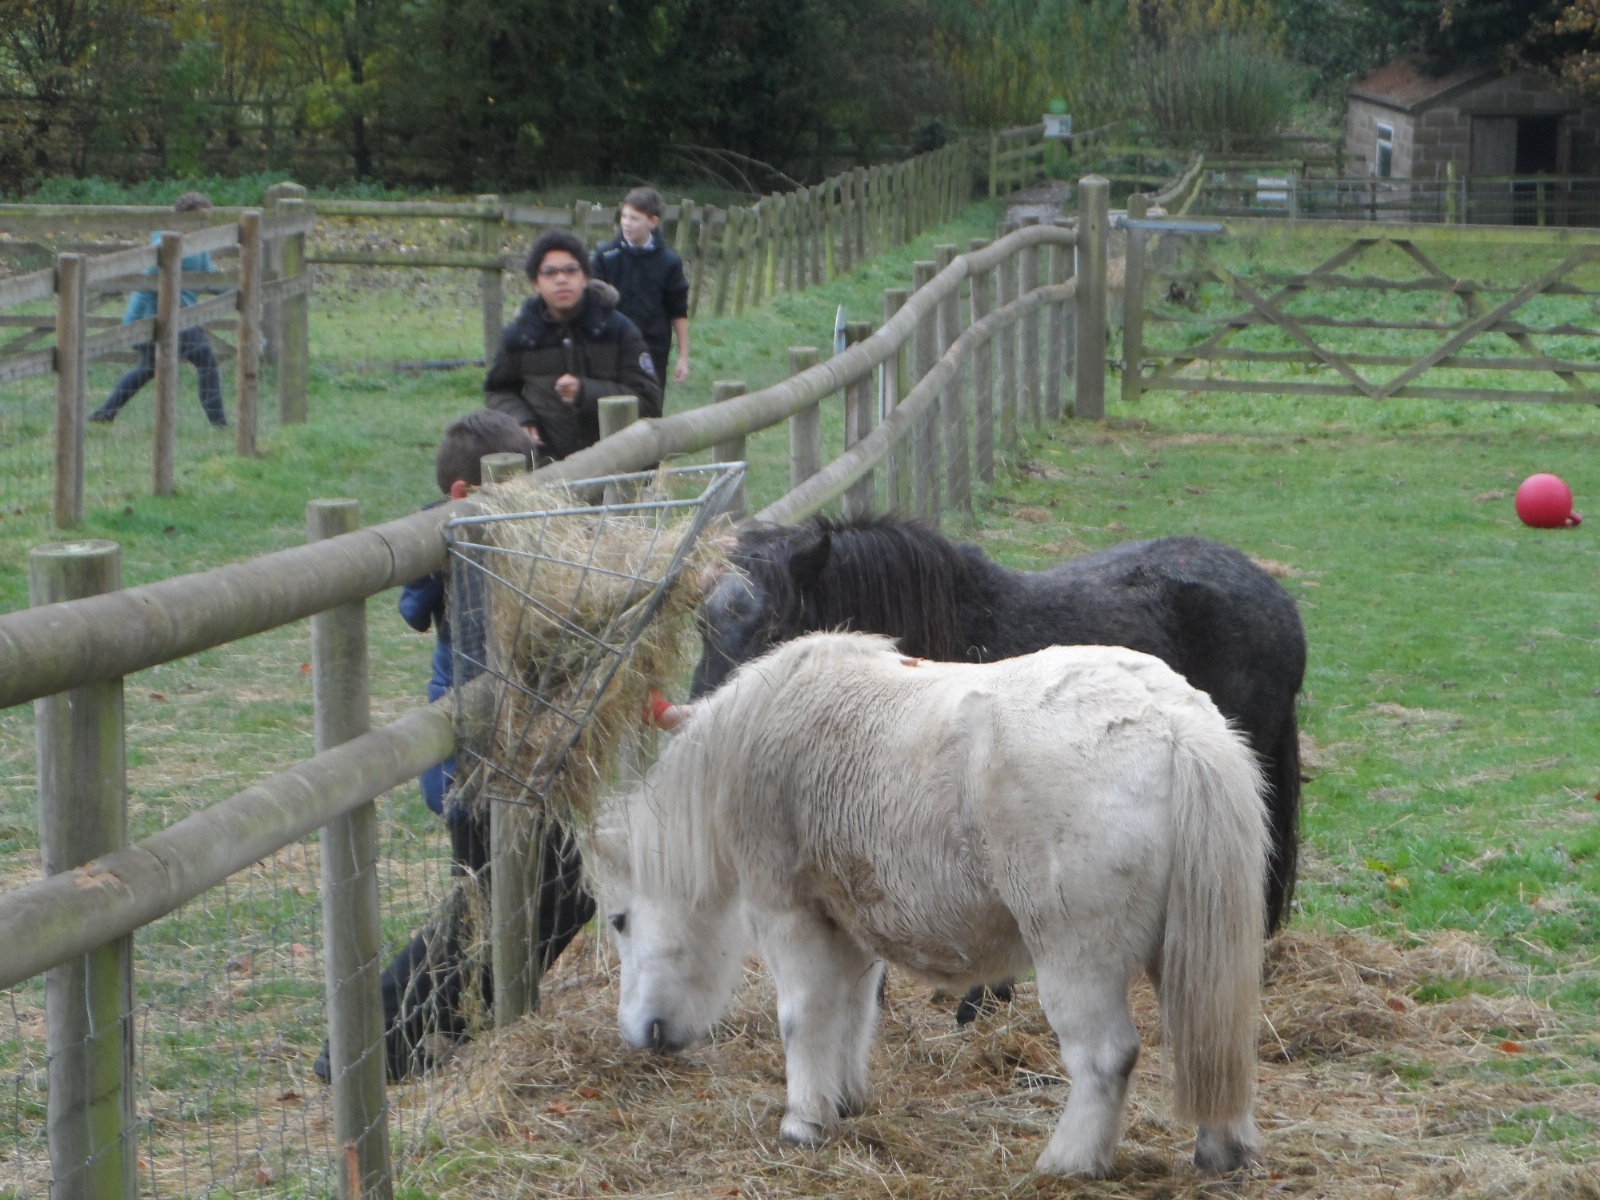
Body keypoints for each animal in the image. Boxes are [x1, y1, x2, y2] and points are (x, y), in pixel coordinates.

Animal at [591, 632, 1268, 1179]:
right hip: (1189, 950)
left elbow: (803, 1016)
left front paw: (803, 1123)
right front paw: (844, 1102)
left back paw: (1068, 1162)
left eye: (620, 921)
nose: (640, 1034)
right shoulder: (851, 925)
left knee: (1106, 1057)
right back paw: (1222, 1149)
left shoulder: (789, 916)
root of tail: (1173, 723)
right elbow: (852, 1012)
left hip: (1077, 956)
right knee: (1215, 1036)